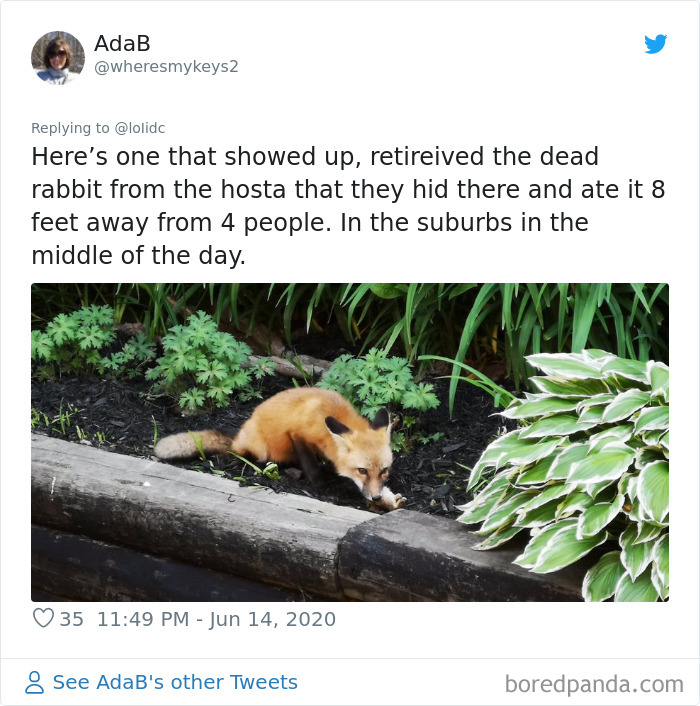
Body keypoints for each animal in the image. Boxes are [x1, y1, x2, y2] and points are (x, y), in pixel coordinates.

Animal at [154, 387, 405, 511]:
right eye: (362, 471)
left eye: (384, 470)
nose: (376, 497)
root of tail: (238, 437)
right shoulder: (297, 434)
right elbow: (310, 463)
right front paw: (319, 482)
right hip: (260, 449)